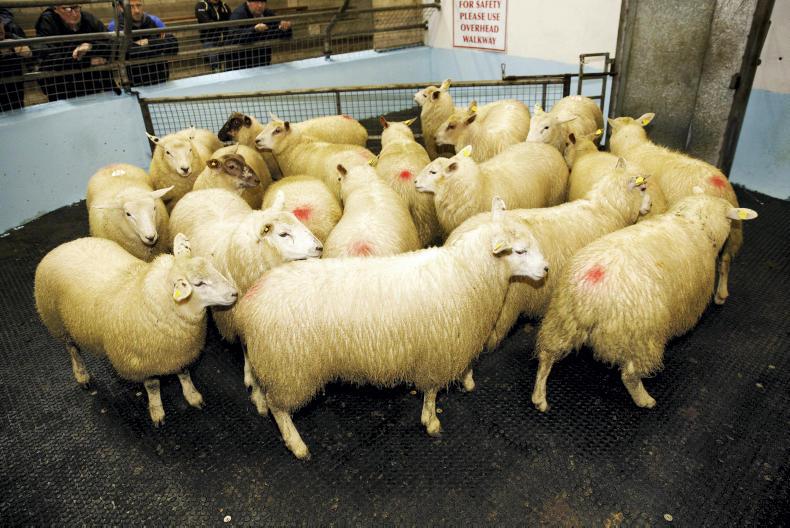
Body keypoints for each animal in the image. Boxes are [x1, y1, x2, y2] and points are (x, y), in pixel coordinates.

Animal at [34, 233, 238, 425]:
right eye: (199, 284)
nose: (235, 293)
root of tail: (63, 246)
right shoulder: (141, 361)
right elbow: (153, 386)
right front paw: (157, 411)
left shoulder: (180, 350)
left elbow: (184, 373)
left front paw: (192, 395)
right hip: (57, 322)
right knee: (73, 350)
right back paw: (82, 375)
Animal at [168, 189, 323, 412]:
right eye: (283, 234)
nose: (319, 247)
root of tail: (202, 190)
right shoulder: (237, 314)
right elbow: (247, 348)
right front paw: (256, 390)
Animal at [235, 197, 550, 459]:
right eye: (519, 251)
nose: (546, 269)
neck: (468, 273)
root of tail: (249, 305)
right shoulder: (436, 353)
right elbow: (431, 393)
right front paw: (431, 422)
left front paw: (466, 379)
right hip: (289, 368)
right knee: (280, 408)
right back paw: (297, 444)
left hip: (270, 361)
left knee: (260, 387)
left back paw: (259, 402)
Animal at [531, 193, 758, 412]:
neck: (692, 222)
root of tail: (592, 287)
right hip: (641, 336)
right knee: (630, 375)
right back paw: (645, 400)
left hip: (562, 318)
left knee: (546, 354)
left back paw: (539, 397)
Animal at [608, 113, 743, 304]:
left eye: (612, 130)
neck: (634, 146)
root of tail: (720, 188)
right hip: (733, 234)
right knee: (725, 261)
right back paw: (721, 295)